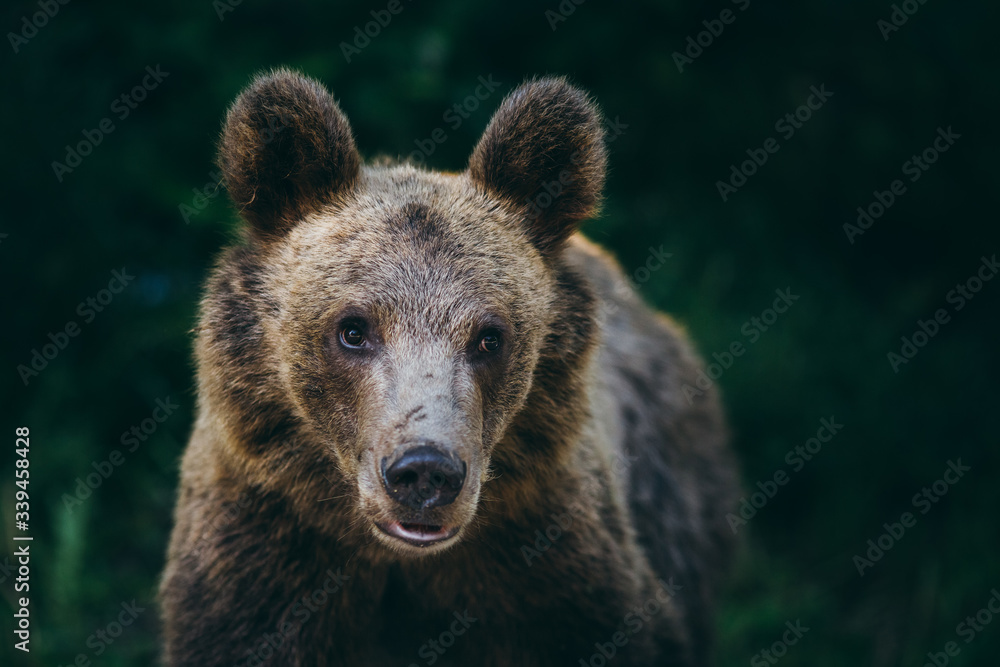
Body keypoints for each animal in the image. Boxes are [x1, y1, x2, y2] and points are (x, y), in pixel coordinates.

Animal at [159, 69, 738, 667]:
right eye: (353, 329)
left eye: (490, 337)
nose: (425, 471)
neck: (398, 560)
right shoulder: (265, 550)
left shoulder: (550, 568)